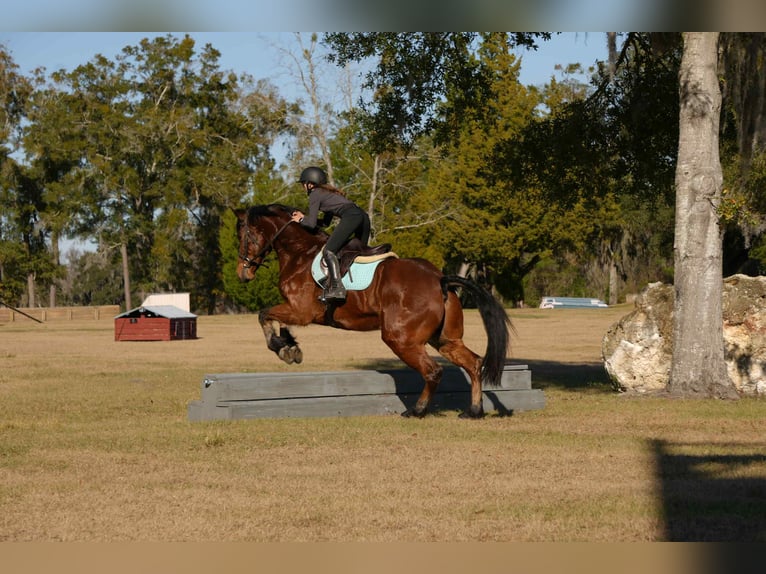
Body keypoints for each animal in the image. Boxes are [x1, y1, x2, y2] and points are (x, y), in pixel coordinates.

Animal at [234, 203, 511, 418]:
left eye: (242, 236)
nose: (242, 273)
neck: (300, 253)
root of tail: (439, 279)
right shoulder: (294, 310)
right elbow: (276, 320)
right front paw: (289, 347)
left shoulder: (301, 311)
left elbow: (263, 314)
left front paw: (281, 348)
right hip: (444, 339)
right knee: (473, 363)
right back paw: (473, 411)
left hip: (400, 338)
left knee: (433, 371)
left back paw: (416, 410)